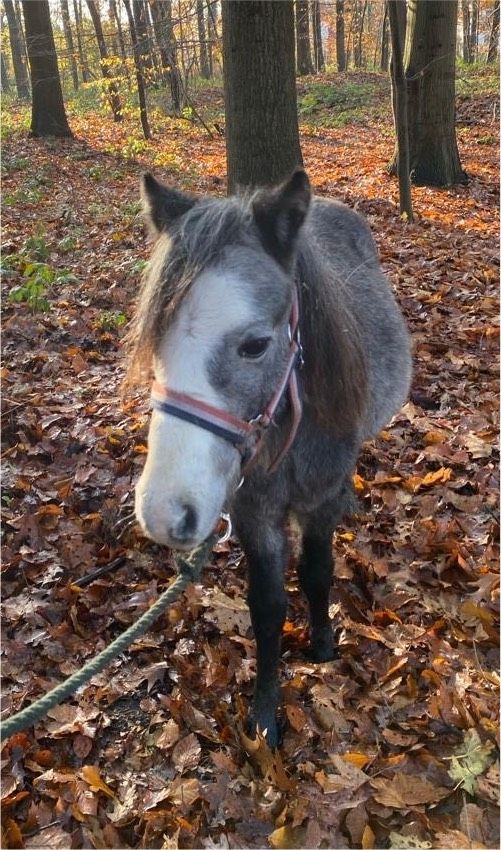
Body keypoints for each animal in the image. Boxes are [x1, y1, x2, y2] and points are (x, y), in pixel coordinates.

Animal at [128, 169, 410, 744]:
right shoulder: (255, 513)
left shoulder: (318, 499)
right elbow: (267, 607)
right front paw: (264, 713)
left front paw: (322, 645)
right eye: (155, 337)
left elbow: (317, 571)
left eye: (256, 345)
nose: (164, 513)